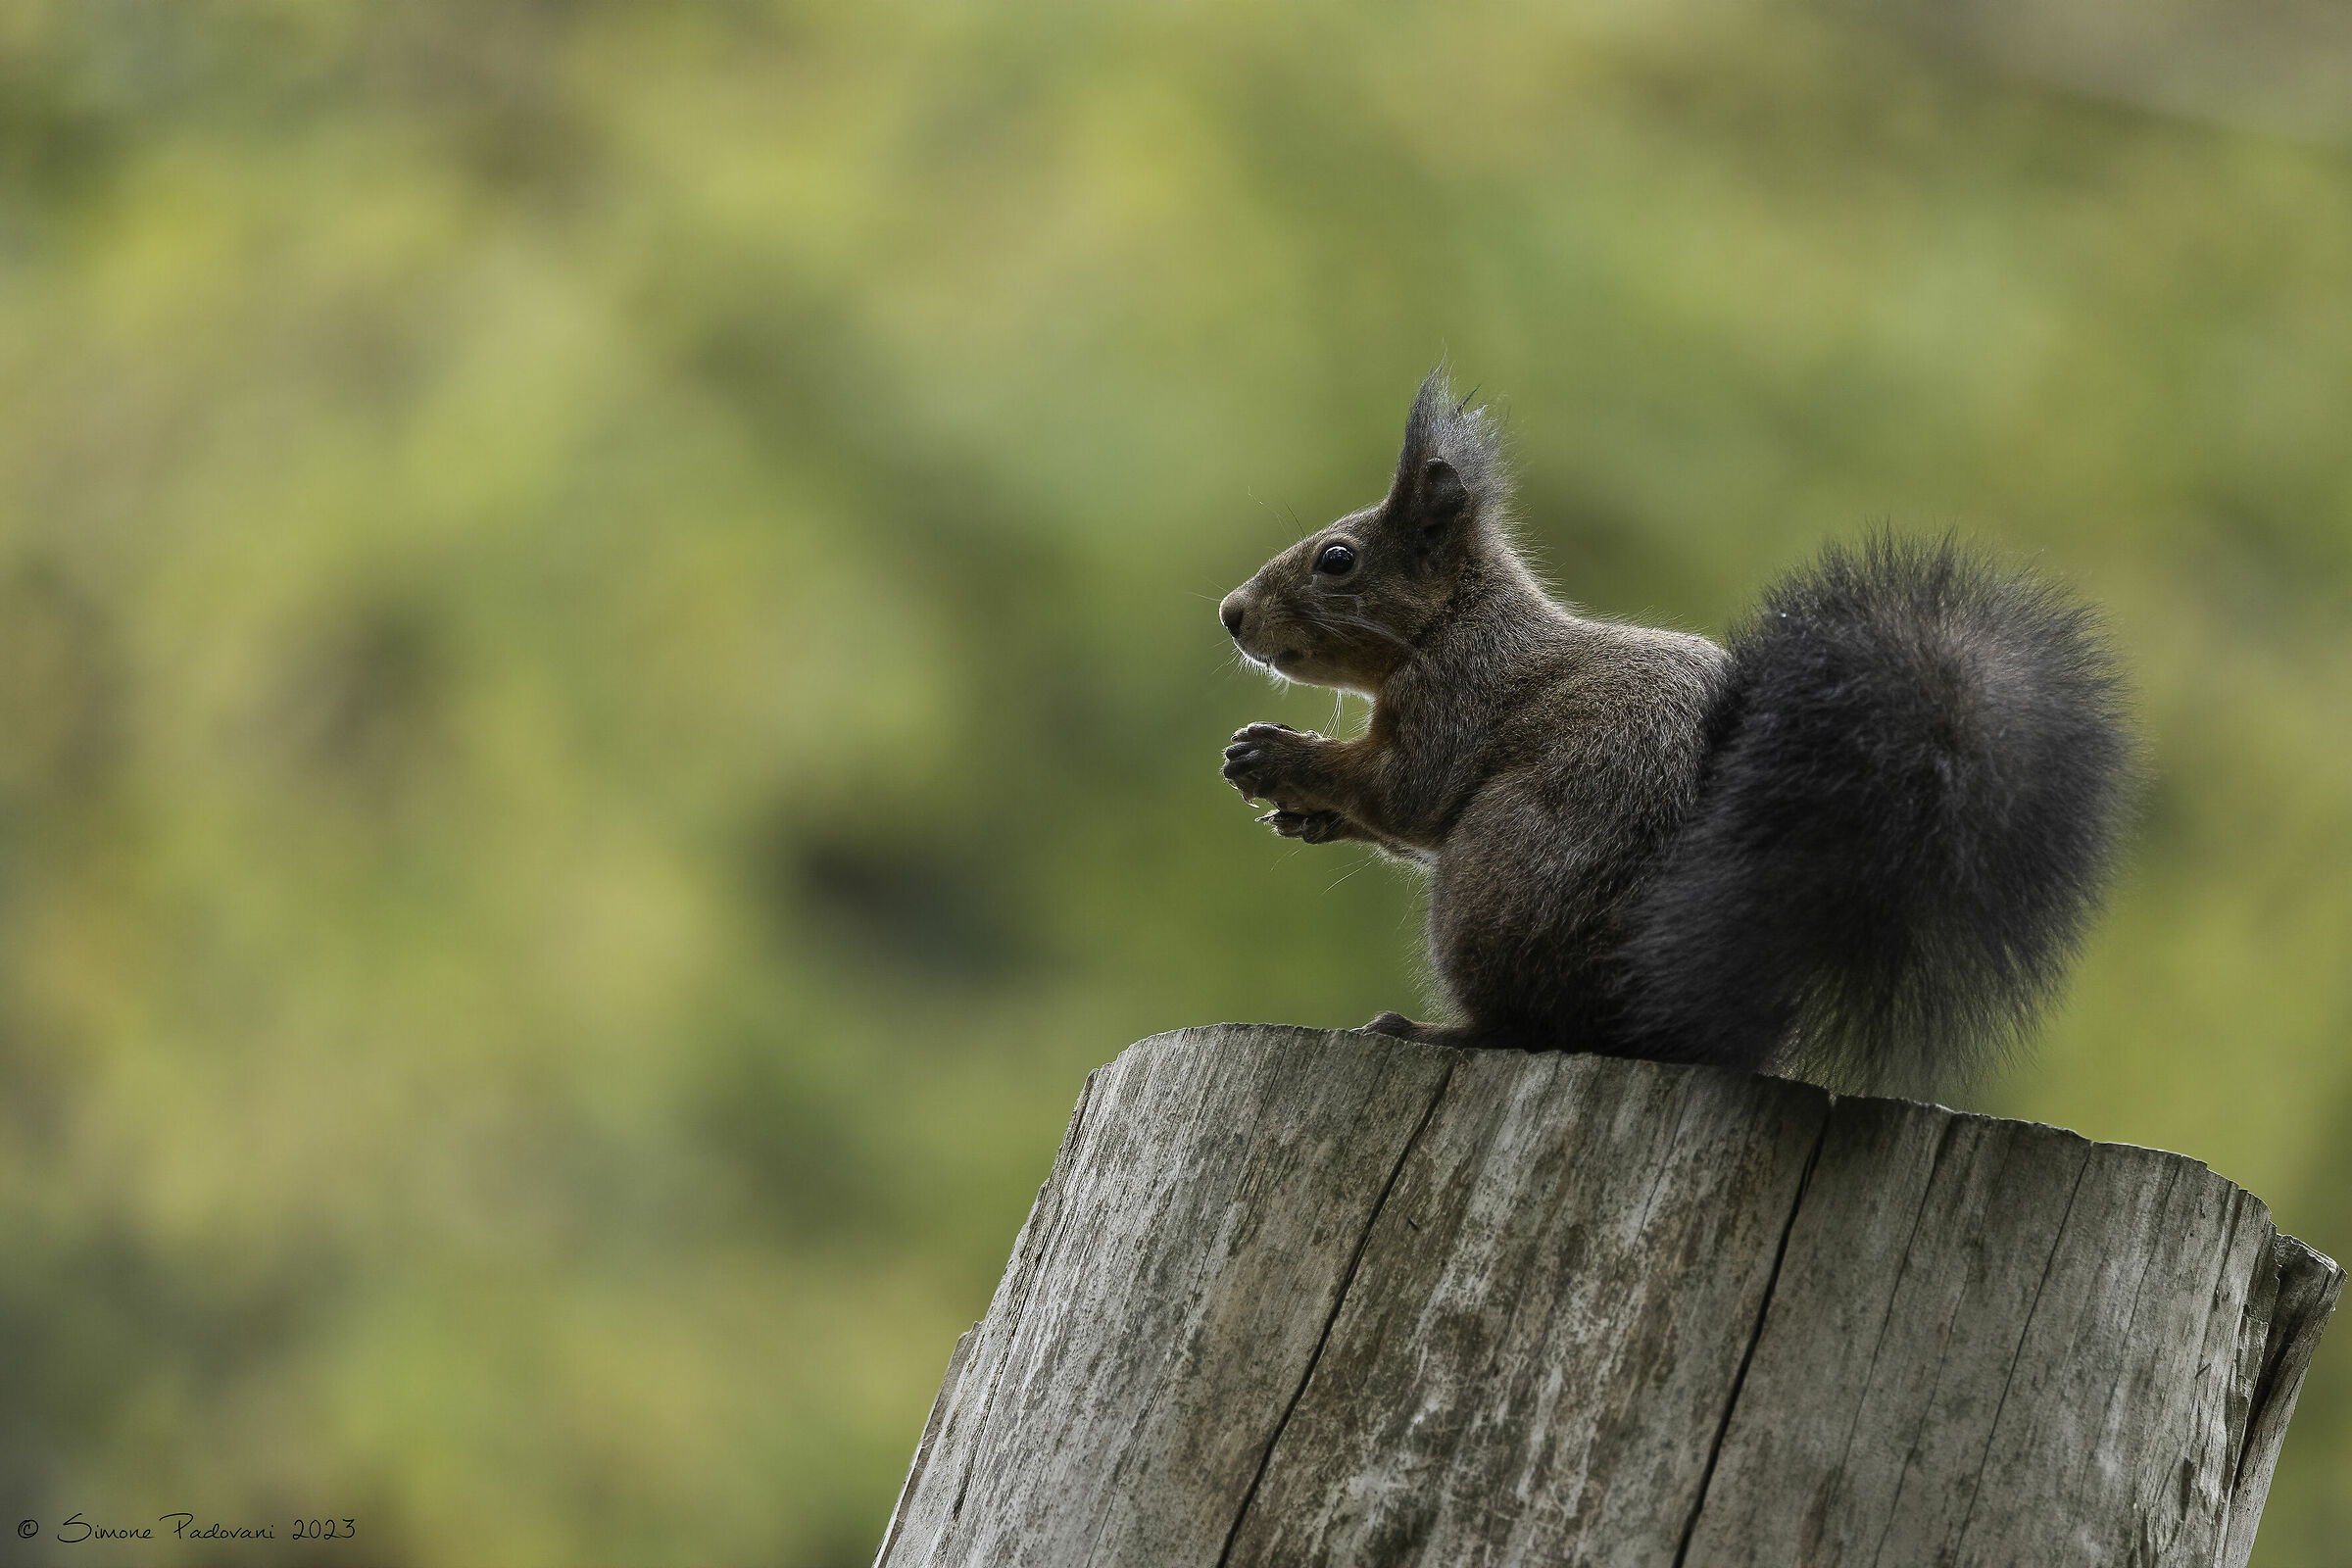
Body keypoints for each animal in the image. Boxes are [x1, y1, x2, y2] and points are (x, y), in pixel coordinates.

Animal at [1217, 372, 2132, 1097]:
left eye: (1337, 560)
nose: (1230, 614)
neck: (1456, 622)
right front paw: (1303, 814)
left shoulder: (1460, 697)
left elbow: (1408, 794)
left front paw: (1281, 758)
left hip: (1494, 887)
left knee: (1529, 1028)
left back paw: (1432, 1030)